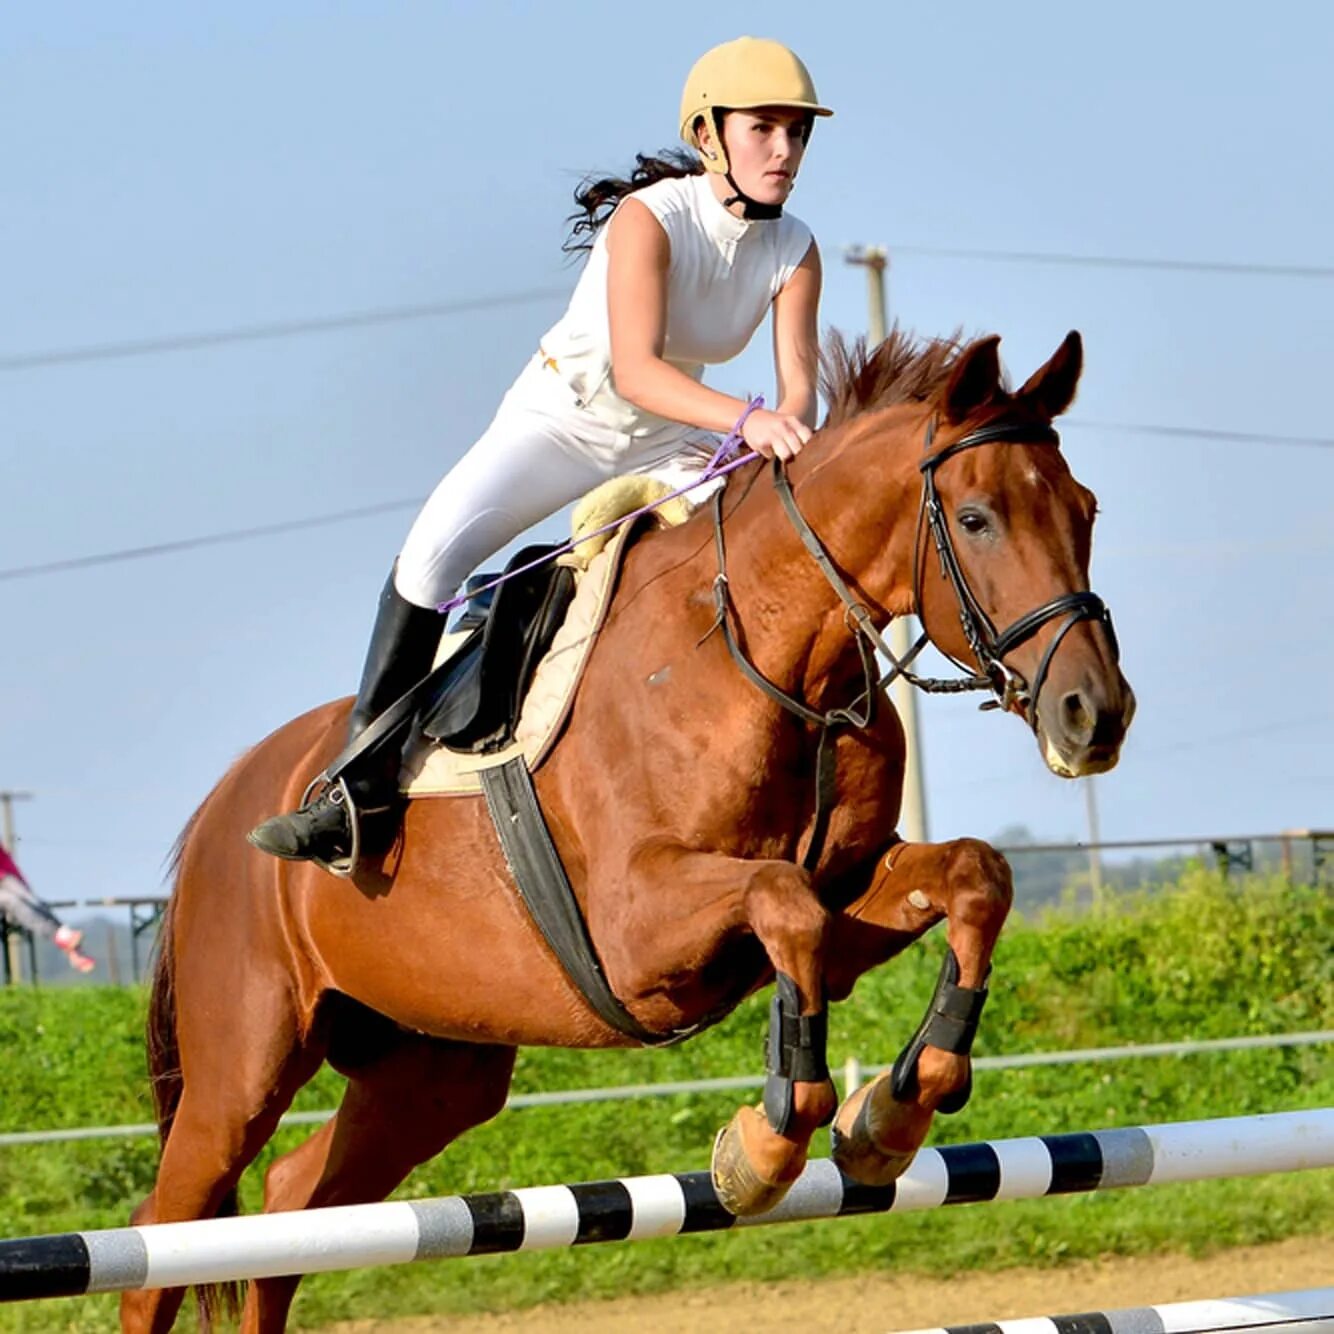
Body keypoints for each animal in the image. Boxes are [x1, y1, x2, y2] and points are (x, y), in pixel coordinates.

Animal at [125, 325, 1131, 1334]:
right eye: (977, 519)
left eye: (1085, 510)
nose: (1096, 714)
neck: (768, 659)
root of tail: (222, 808)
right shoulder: (637, 935)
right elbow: (784, 902)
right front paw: (766, 1145)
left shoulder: (850, 893)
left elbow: (971, 877)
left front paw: (892, 1113)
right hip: (239, 1076)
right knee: (163, 1240)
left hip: (431, 1072)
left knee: (290, 1204)